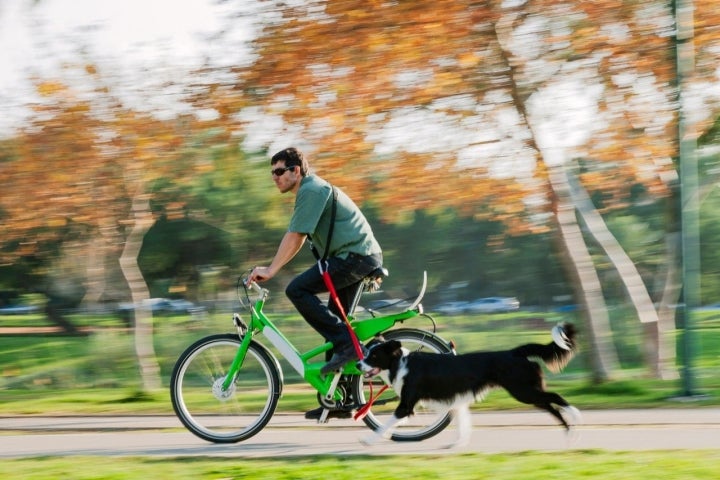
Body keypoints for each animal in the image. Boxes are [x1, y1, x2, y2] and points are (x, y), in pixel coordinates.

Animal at [358, 322, 584, 446]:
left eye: (374, 356)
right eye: (367, 353)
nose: (358, 364)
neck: (400, 363)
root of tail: (514, 352)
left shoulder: (406, 405)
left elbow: (385, 424)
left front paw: (368, 441)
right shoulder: (455, 400)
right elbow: (463, 422)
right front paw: (457, 444)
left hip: (524, 391)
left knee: (555, 398)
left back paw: (576, 416)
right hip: (529, 392)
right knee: (552, 407)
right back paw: (570, 435)